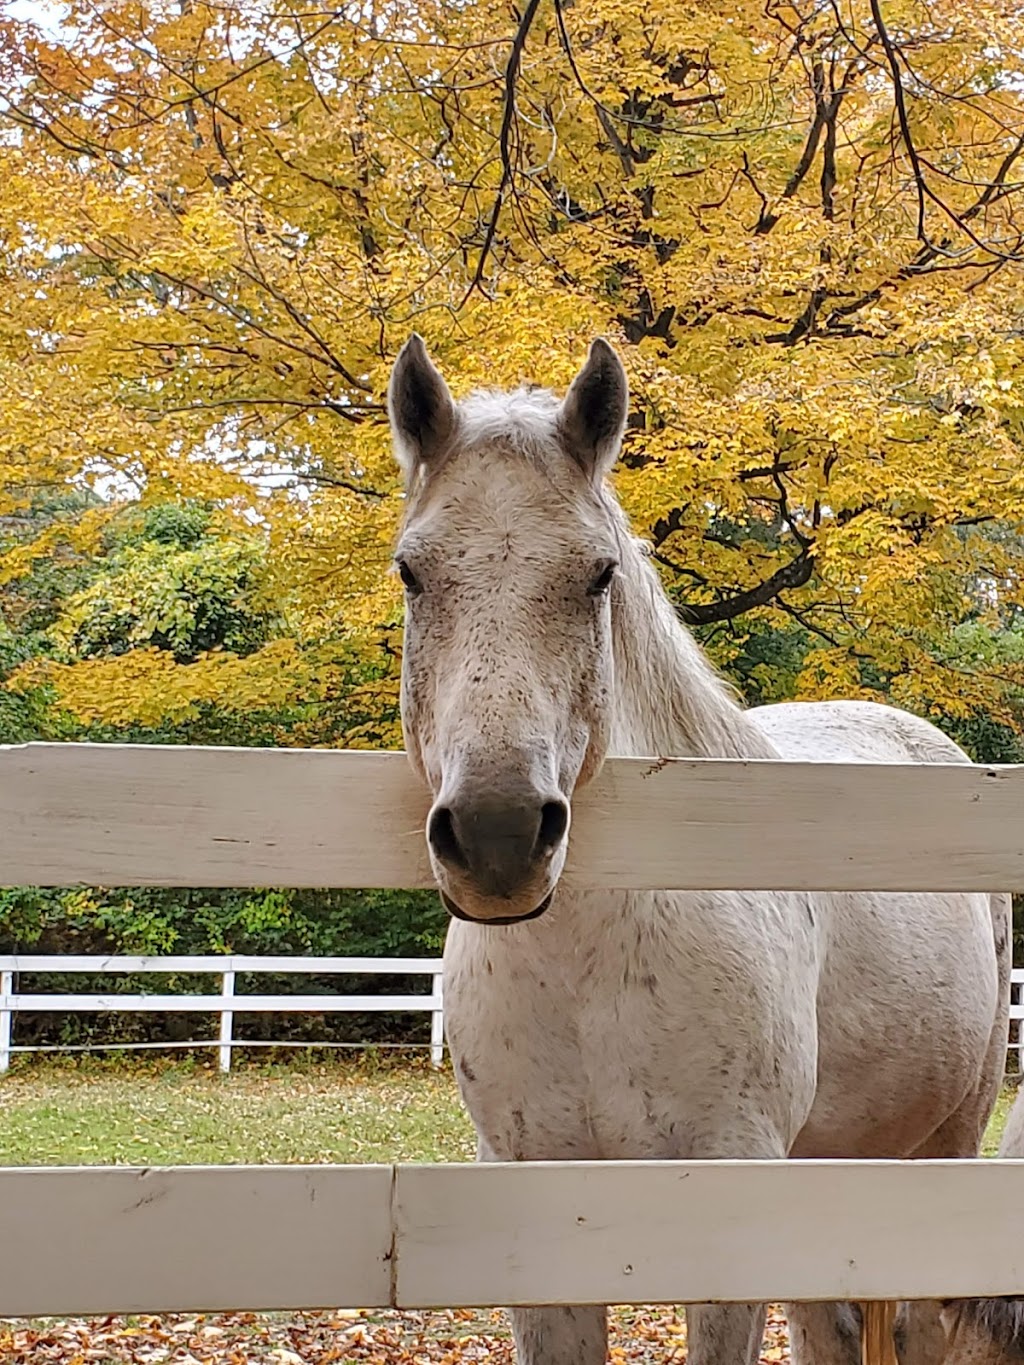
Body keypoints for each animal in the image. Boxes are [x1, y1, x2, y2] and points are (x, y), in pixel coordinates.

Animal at [387, 333, 1015, 1365]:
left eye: (599, 574)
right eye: (412, 572)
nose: (497, 833)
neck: (589, 970)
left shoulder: (725, 1201)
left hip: (945, 1146)